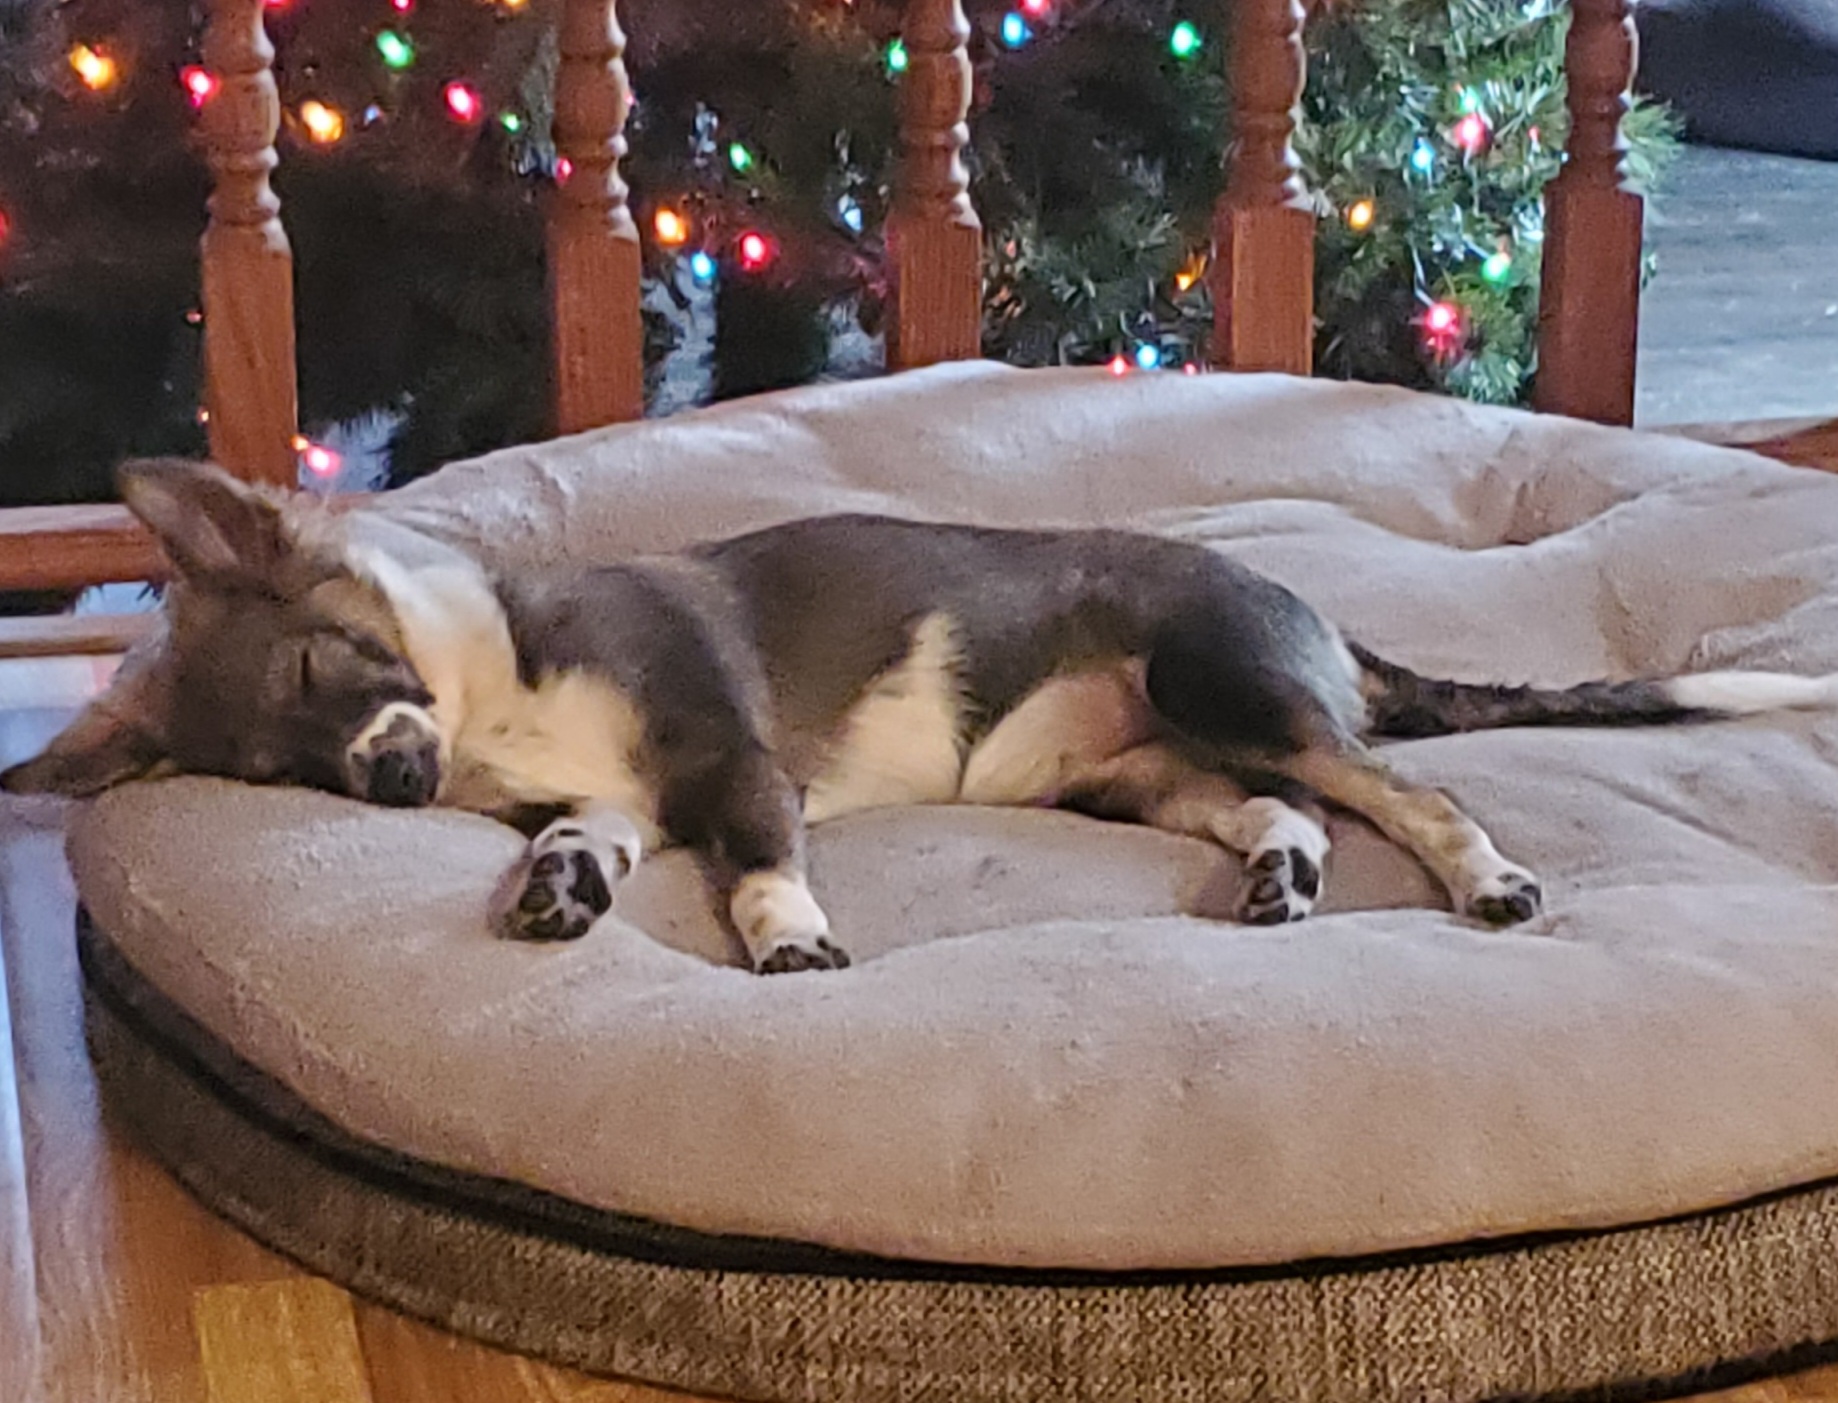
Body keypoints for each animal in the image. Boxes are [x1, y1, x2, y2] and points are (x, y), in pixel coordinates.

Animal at [7, 467, 1830, 970]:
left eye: (327, 669)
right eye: (278, 772)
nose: (390, 786)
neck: (494, 692)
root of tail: (1325, 630)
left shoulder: (723, 749)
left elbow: (755, 851)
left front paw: (787, 934)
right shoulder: (609, 794)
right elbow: (589, 834)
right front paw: (559, 886)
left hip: (1218, 682)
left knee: (1400, 792)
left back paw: (1488, 879)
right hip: (1131, 775)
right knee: (1289, 810)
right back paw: (1275, 881)